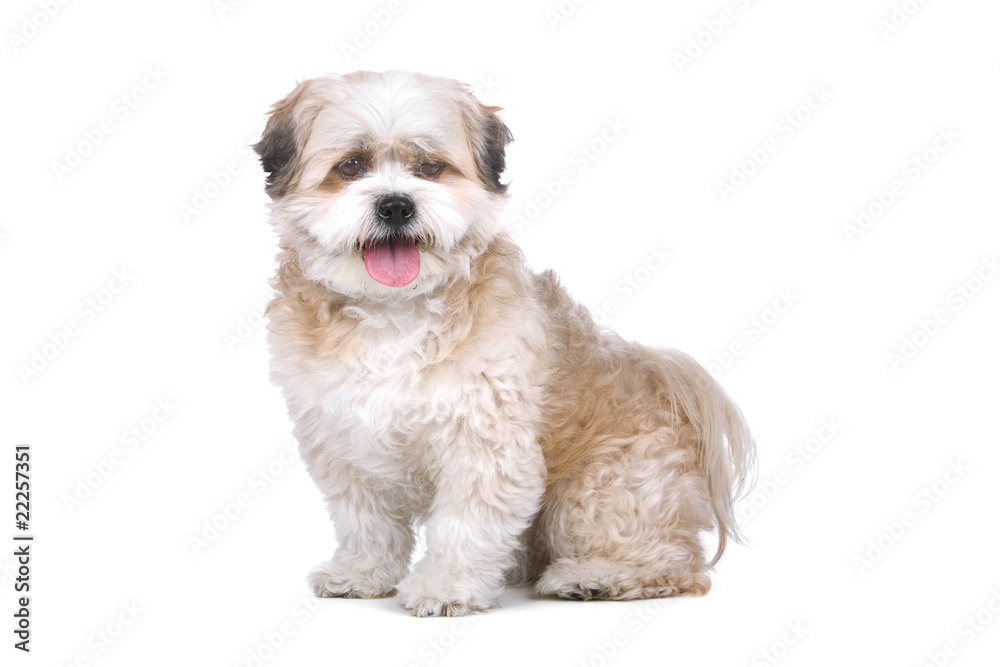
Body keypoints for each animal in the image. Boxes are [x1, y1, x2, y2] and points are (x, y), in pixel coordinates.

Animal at [254, 70, 752, 620]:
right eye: (351, 166)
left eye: (430, 167)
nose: (396, 204)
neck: (394, 313)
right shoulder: (344, 439)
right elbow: (367, 523)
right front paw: (363, 574)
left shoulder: (484, 441)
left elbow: (464, 525)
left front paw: (446, 586)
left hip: (599, 493)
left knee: (675, 562)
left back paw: (597, 577)